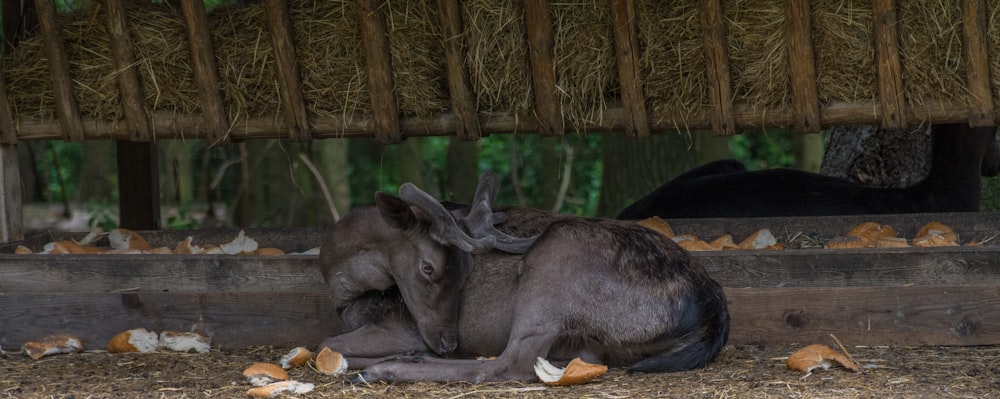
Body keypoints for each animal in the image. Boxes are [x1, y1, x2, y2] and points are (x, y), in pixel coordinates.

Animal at [316, 172, 732, 384]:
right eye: (429, 268)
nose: (447, 342)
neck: (343, 290)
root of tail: (712, 309)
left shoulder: (401, 323)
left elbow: (326, 341)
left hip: (555, 259)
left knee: (511, 363)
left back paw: (385, 370)